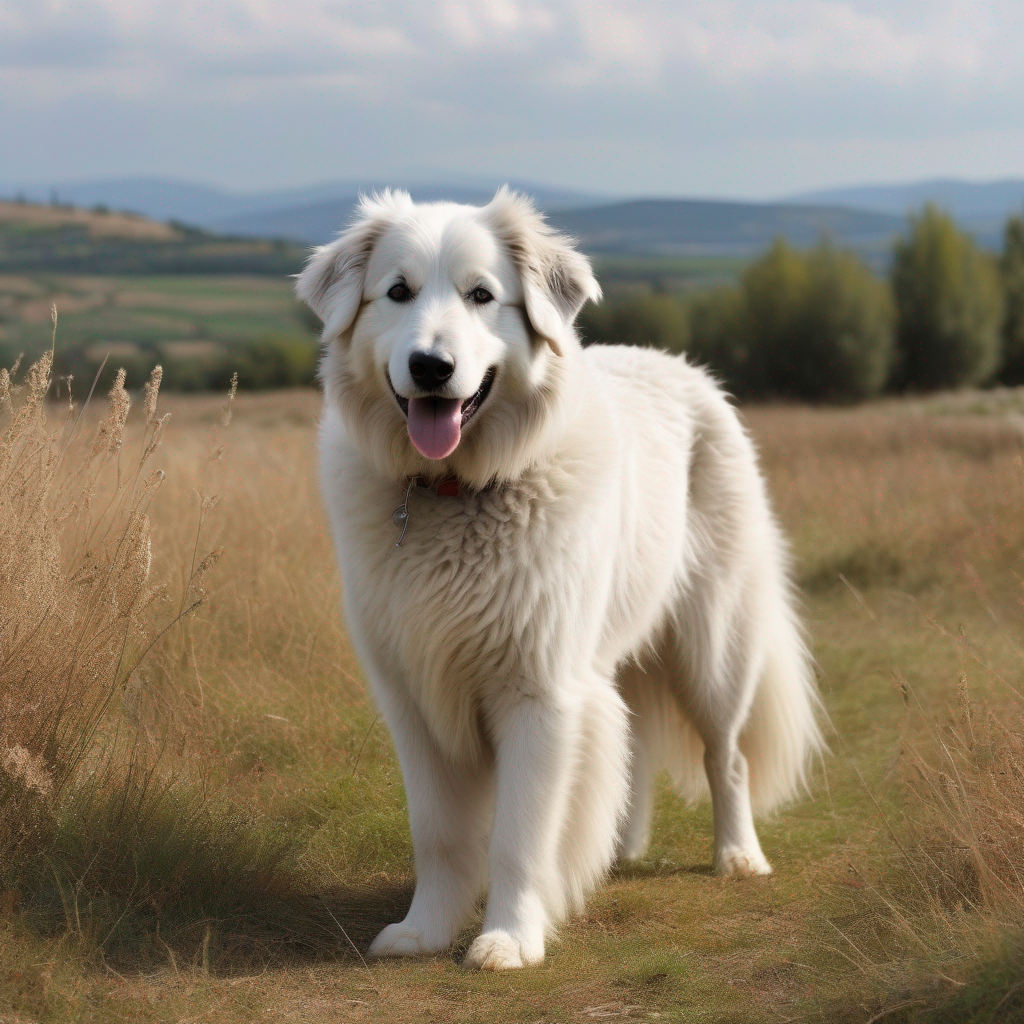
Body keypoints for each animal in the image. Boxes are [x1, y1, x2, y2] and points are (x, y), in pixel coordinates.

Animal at [299, 190, 823, 966]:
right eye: (397, 292)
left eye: (481, 295)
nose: (430, 367)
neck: (454, 493)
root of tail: (686, 370)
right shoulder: (415, 700)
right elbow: (439, 834)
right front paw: (424, 930)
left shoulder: (539, 693)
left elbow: (519, 837)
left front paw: (508, 941)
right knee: (631, 747)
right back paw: (618, 853)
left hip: (713, 652)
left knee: (726, 759)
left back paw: (739, 857)